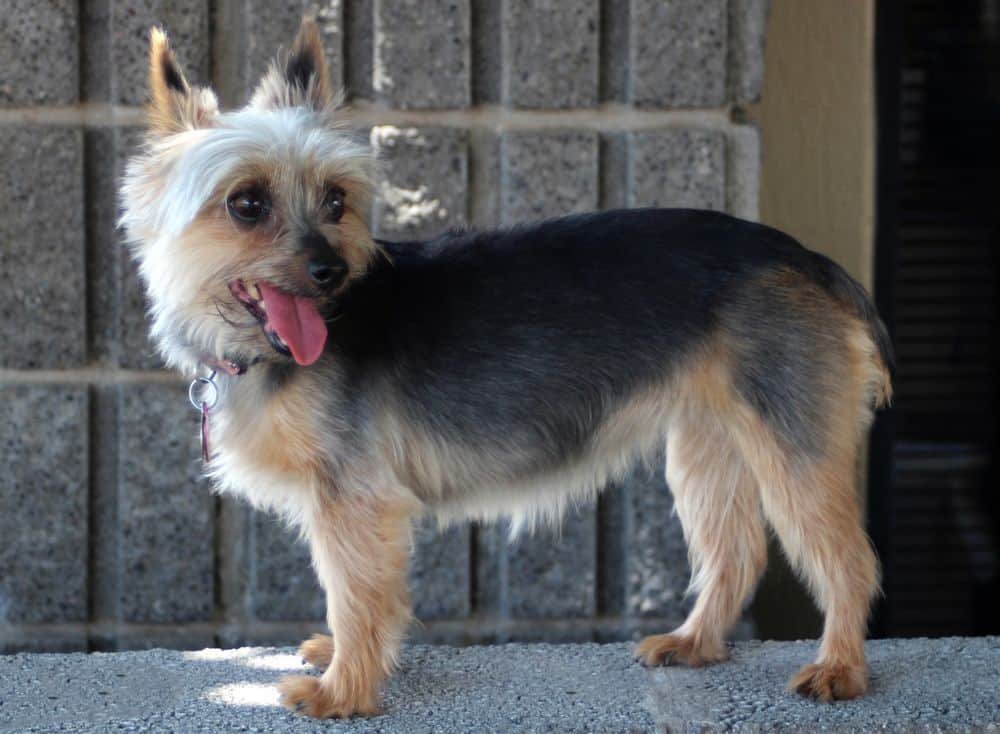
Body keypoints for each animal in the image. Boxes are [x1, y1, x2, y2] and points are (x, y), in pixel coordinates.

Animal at [121, 15, 896, 720]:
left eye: (336, 200)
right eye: (247, 204)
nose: (331, 270)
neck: (275, 347)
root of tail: (807, 258)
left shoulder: (352, 494)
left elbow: (354, 590)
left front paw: (342, 691)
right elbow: (362, 591)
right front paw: (348, 663)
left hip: (791, 438)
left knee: (847, 558)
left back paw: (839, 668)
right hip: (709, 438)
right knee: (734, 551)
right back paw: (694, 643)